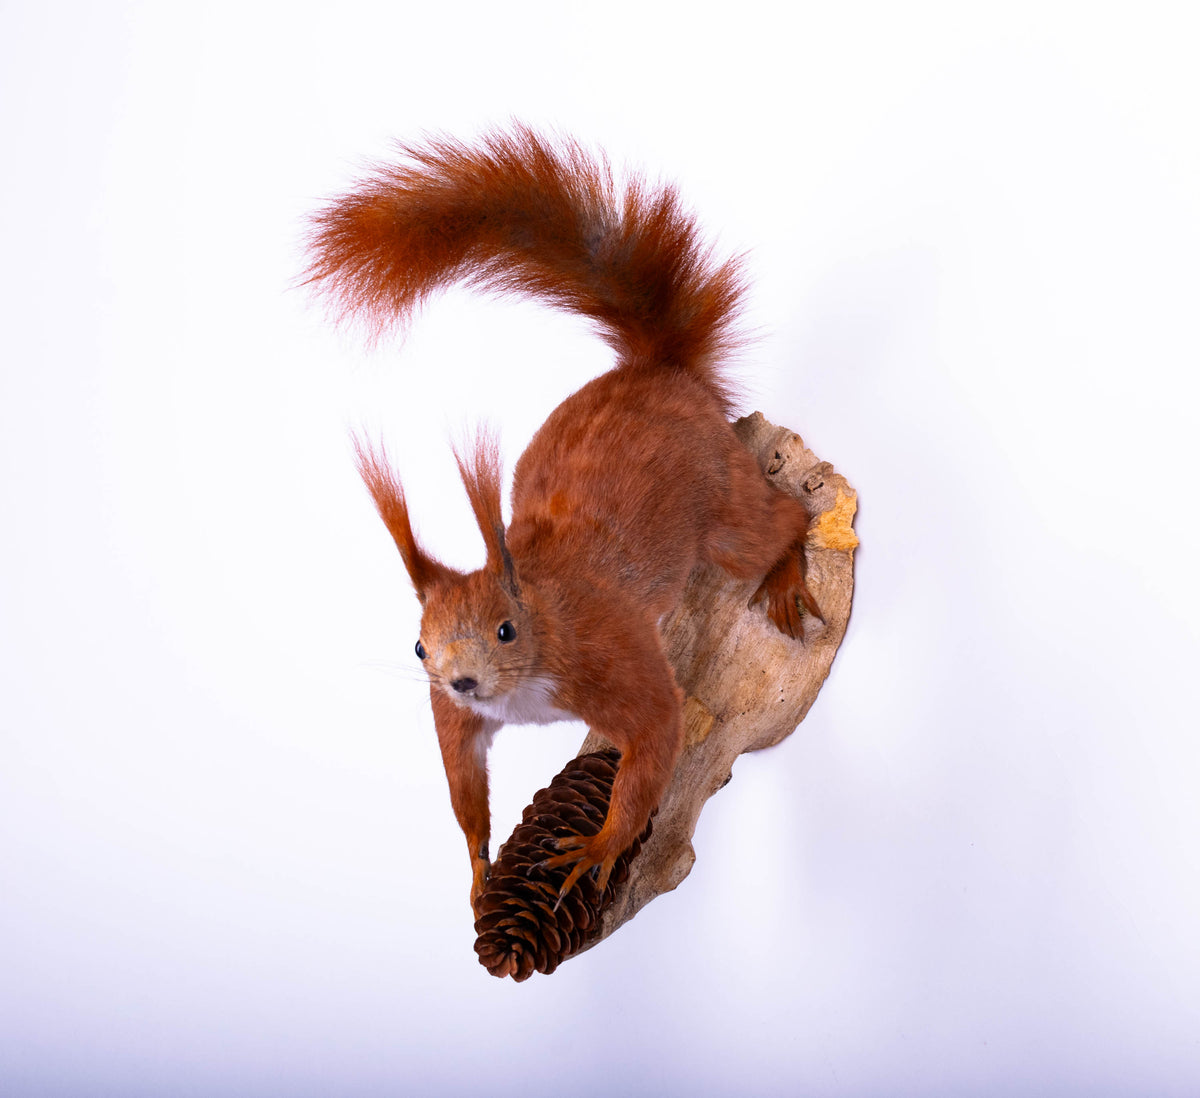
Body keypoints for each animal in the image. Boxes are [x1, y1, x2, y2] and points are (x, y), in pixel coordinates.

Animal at [306, 125, 822, 912]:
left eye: (506, 630)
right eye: (420, 647)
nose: (463, 680)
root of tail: (658, 371)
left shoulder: (609, 659)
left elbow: (657, 733)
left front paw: (600, 846)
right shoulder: (458, 717)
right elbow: (460, 779)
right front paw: (478, 861)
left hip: (724, 514)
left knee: (779, 521)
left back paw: (789, 573)